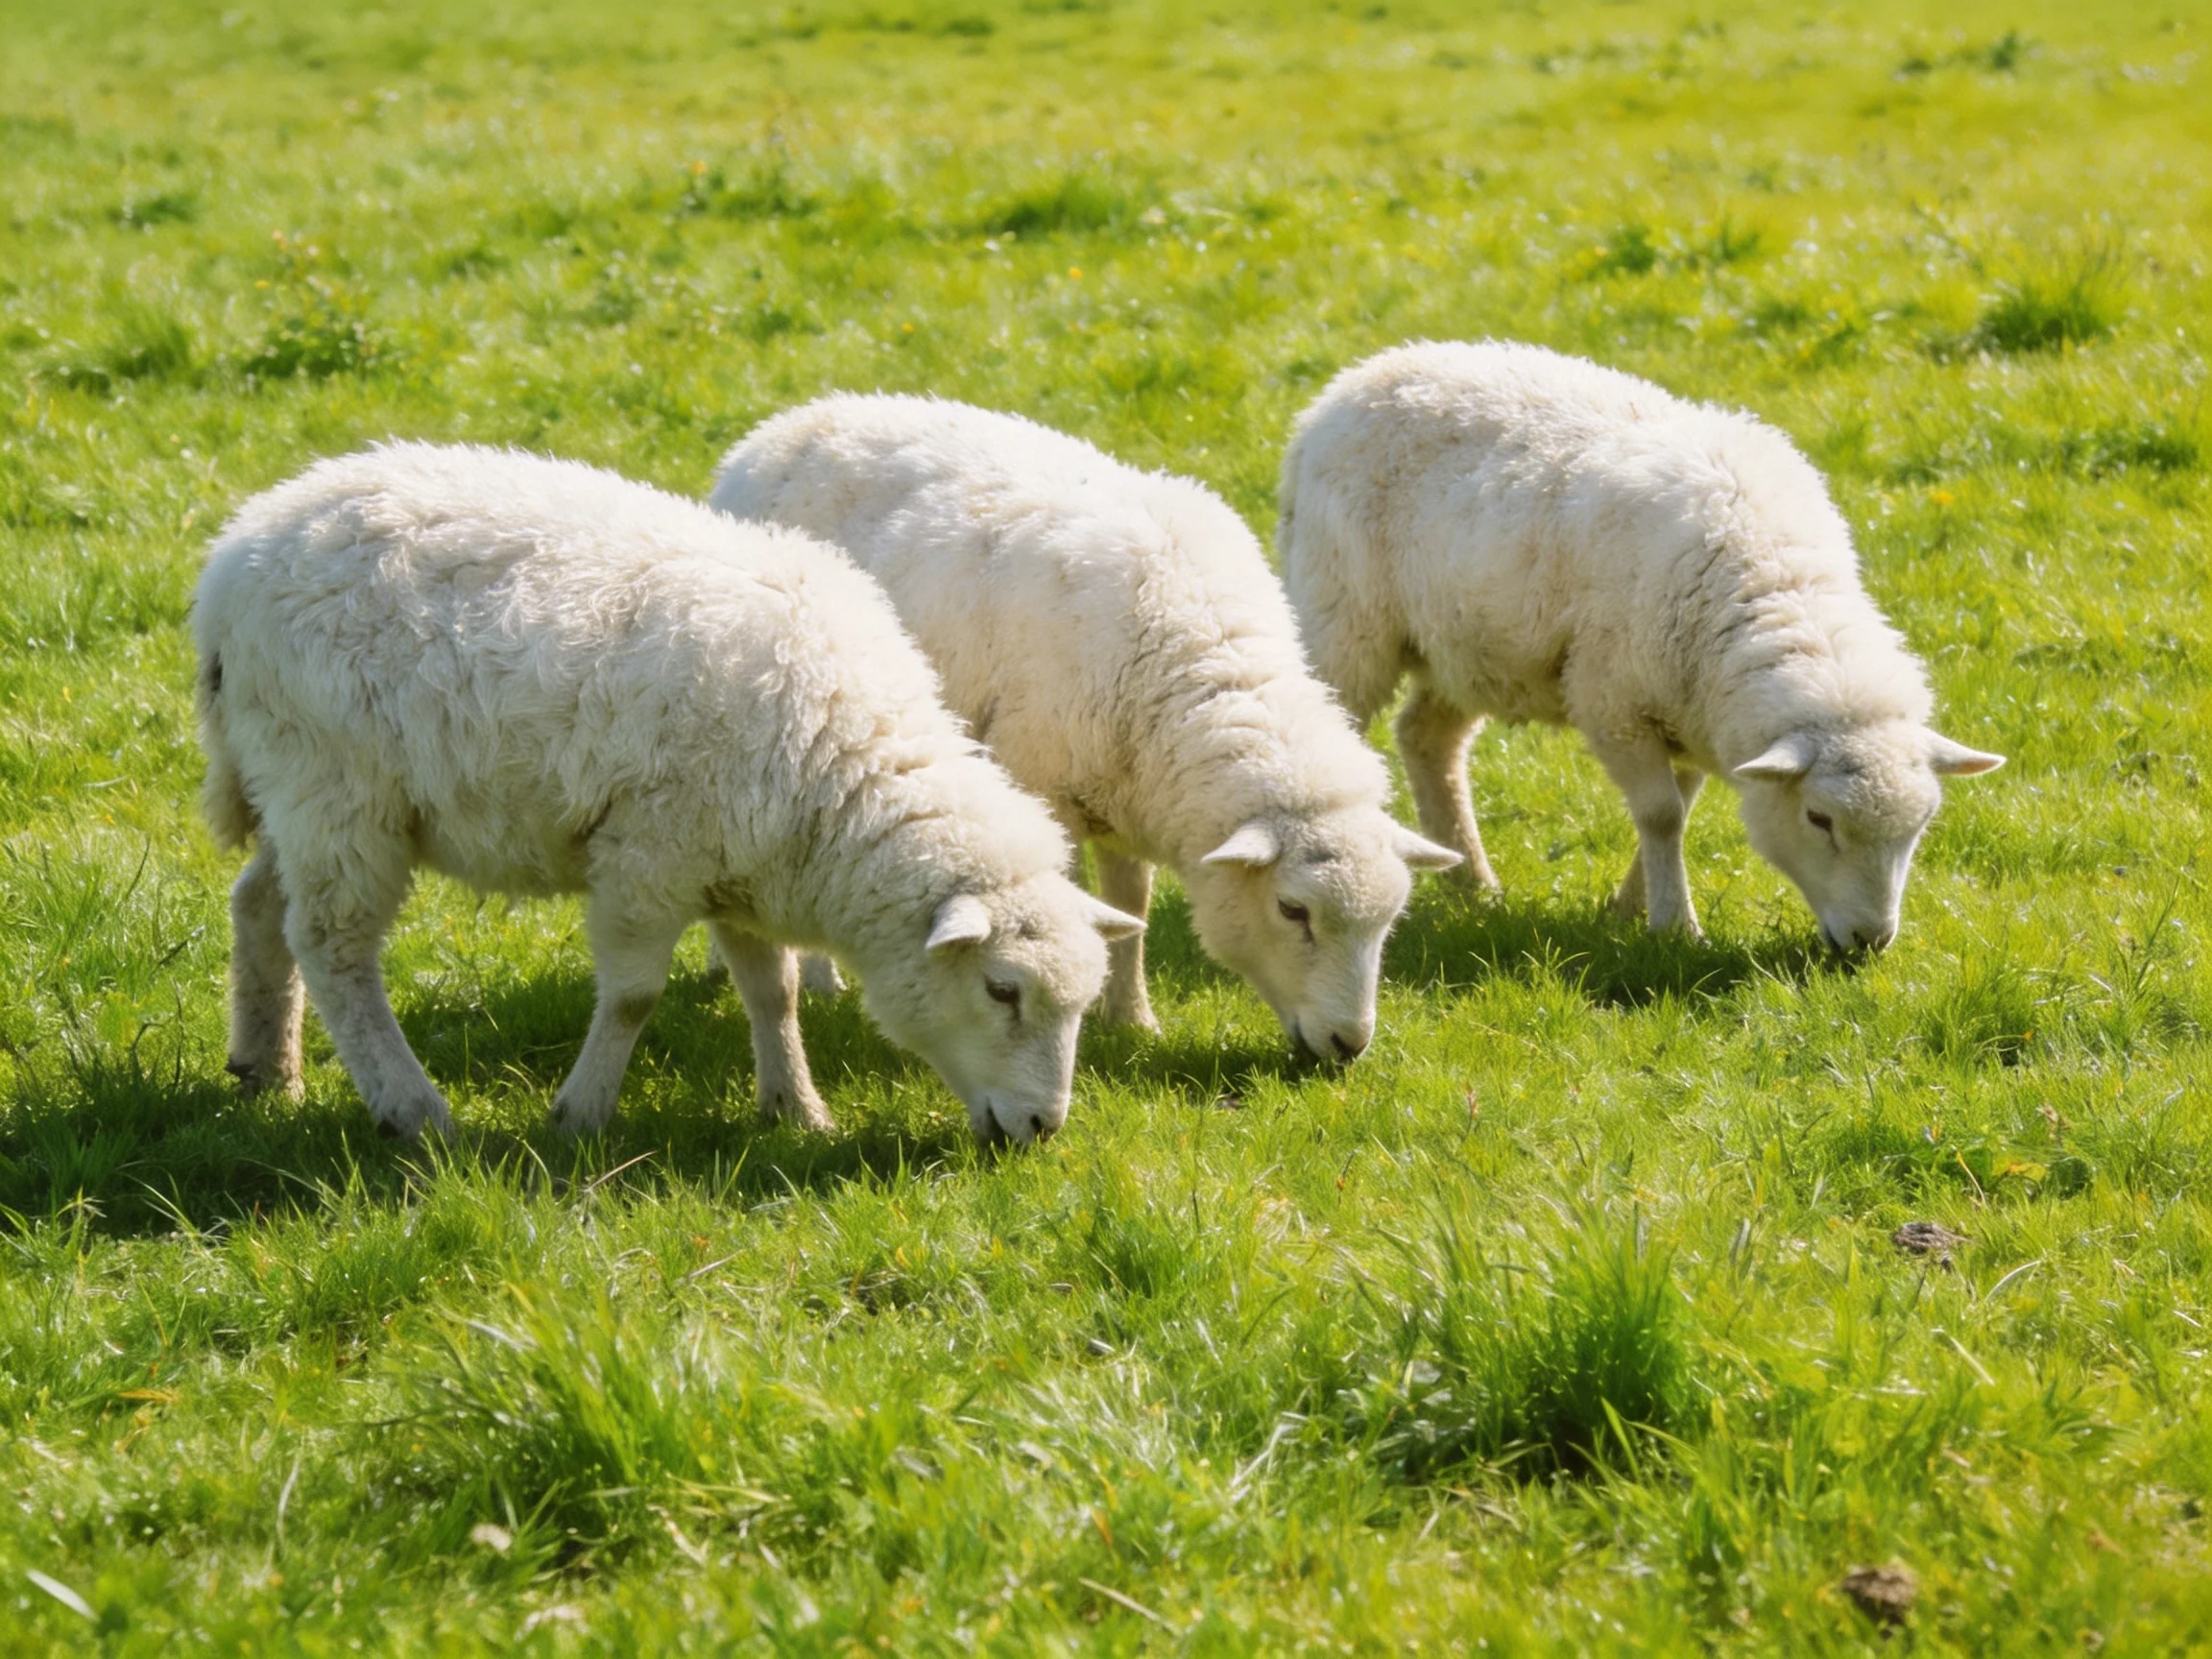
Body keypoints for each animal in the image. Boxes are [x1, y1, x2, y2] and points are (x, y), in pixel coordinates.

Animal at [193, 442, 1143, 1144]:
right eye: (1002, 990)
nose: (1042, 1128)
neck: (839, 769)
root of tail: (236, 553)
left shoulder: (740, 858)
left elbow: (773, 990)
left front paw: (796, 1108)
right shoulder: (650, 859)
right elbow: (633, 998)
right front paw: (582, 1114)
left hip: (296, 787)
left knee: (258, 906)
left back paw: (266, 1070)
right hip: (341, 790)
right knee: (334, 947)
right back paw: (412, 1108)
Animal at [709, 396, 1460, 1063]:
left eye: (1389, 921)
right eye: (1293, 910)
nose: (1349, 1046)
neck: (1195, 656)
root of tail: (776, 428)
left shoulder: (1132, 788)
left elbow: (1131, 909)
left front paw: (1131, 1018)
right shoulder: (1048, 791)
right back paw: (820, 980)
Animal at [1279, 341, 2003, 953]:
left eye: (1920, 826)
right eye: (1819, 818)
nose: (1870, 943)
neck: (1771, 577)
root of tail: (1361, 375)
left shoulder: (1697, 712)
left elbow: (1681, 805)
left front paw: (1631, 905)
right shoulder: (1614, 701)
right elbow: (1660, 815)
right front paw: (1674, 924)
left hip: (1468, 646)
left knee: (1428, 738)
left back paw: (1473, 884)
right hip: (1345, 617)